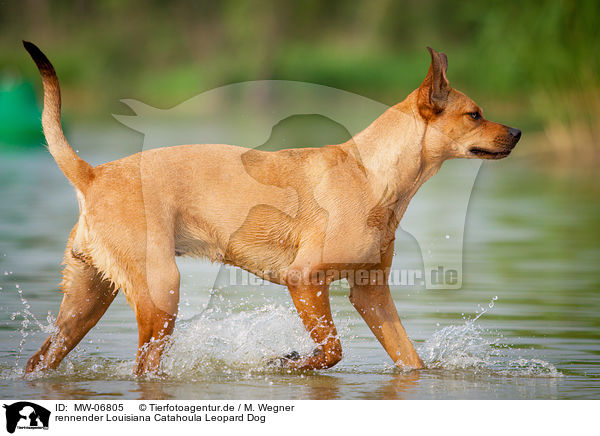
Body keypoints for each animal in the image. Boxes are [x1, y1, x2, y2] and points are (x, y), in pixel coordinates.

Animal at [22, 41, 520, 374]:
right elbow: (332, 351)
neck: (373, 174)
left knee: (41, 358)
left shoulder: (371, 293)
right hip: (161, 293)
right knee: (144, 366)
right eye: (474, 115)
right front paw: (286, 361)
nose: (517, 132)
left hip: (88, 298)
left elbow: (409, 358)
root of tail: (93, 174)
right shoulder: (305, 280)